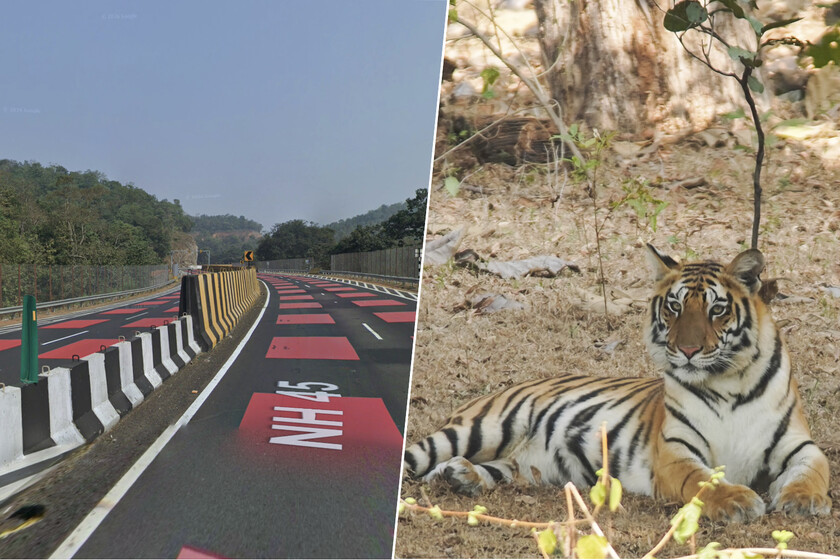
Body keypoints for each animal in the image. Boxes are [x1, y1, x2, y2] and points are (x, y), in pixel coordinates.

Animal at [404, 245, 831, 522]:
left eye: (717, 309)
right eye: (674, 306)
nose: (688, 350)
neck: (731, 382)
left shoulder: (799, 444)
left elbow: (813, 470)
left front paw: (802, 500)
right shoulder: (676, 452)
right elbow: (703, 481)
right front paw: (738, 502)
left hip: (524, 466)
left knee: (489, 469)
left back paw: (461, 477)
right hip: (483, 428)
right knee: (418, 456)